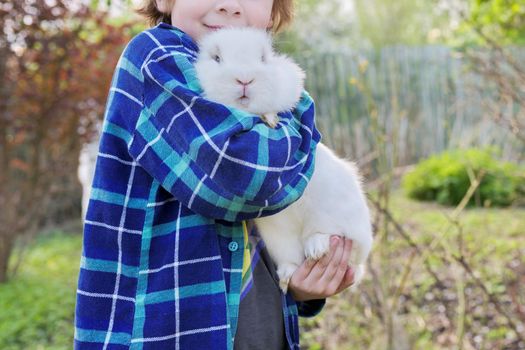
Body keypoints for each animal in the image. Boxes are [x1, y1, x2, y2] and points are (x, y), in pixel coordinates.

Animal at [193, 28, 372, 292]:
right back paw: (288, 277)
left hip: (339, 221)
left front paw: (271, 118)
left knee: (334, 241)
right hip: (280, 239)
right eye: (216, 58)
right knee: (293, 260)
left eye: (263, 59)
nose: (244, 80)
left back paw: (317, 247)